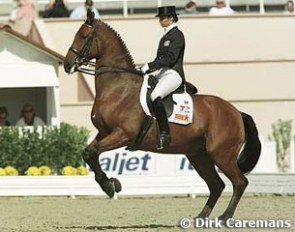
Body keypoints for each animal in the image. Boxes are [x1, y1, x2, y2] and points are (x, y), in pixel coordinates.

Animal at [64, 10, 262, 221]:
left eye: (83, 36)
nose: (67, 64)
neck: (119, 87)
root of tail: (237, 112)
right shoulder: (104, 133)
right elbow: (88, 153)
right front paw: (109, 184)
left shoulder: (123, 134)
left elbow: (93, 152)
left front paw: (110, 186)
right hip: (199, 155)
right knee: (217, 184)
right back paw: (200, 217)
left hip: (222, 155)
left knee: (239, 182)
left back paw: (225, 217)